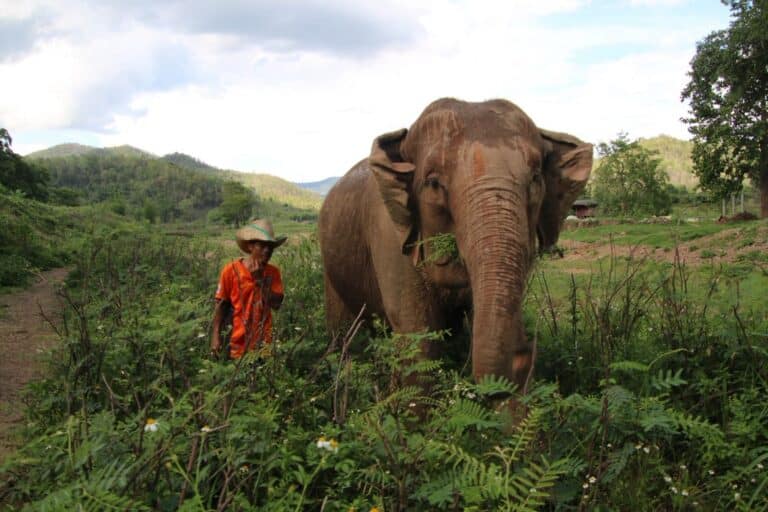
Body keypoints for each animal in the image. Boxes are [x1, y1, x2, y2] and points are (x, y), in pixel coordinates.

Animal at [316, 99, 592, 396]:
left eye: (536, 178)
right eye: (433, 183)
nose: (525, 353)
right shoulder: (388, 235)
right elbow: (418, 337)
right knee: (343, 330)